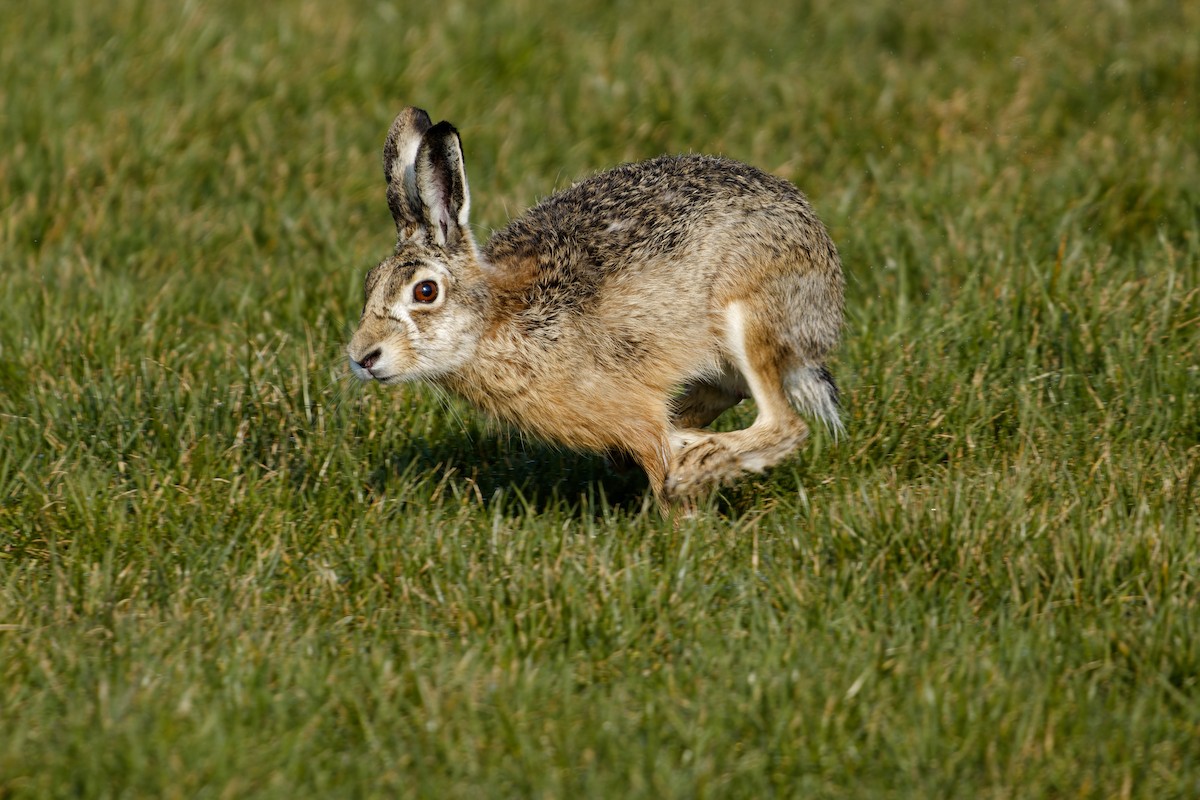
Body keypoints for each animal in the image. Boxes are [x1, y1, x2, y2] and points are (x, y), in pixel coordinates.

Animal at [346, 106, 844, 507]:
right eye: (370, 283)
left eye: (425, 292)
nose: (362, 357)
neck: (494, 318)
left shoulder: (636, 414)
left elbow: (661, 468)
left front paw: (681, 523)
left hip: (749, 316)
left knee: (785, 425)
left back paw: (695, 467)